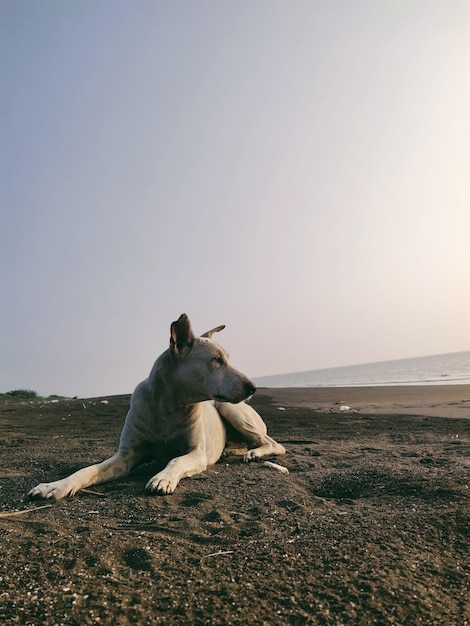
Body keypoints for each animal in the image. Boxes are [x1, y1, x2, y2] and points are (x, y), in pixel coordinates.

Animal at [29, 312, 286, 498]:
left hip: (231, 409)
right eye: (216, 360)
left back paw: (254, 453)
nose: (253, 387)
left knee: (275, 444)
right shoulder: (126, 456)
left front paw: (162, 478)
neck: (170, 407)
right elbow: (88, 469)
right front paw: (55, 486)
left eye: (227, 358)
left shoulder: (196, 453)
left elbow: (176, 459)